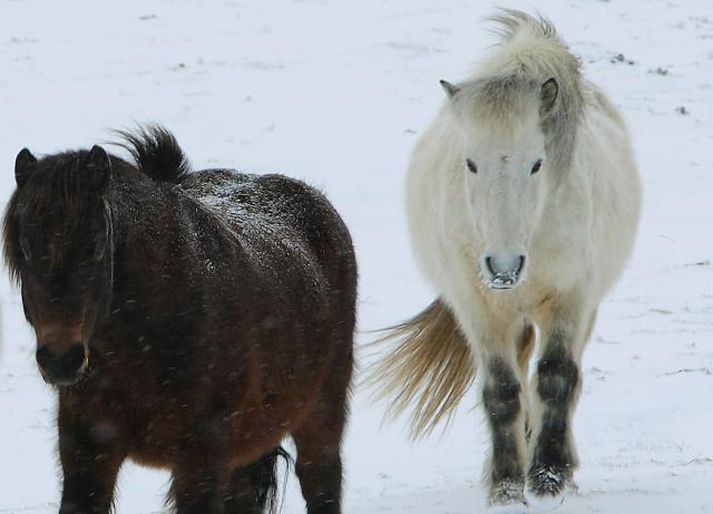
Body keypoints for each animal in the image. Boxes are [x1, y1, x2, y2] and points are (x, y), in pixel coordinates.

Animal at [3, 125, 358, 512]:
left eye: (95, 247)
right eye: (24, 247)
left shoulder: (201, 461)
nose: (60, 359)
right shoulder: (87, 455)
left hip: (320, 418)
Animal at [370, 10, 644, 510]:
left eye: (536, 163)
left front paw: (549, 476)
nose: (503, 266)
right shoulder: (480, 311)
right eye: (470, 163)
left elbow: (556, 378)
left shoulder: (570, 301)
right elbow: (501, 391)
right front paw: (505, 484)